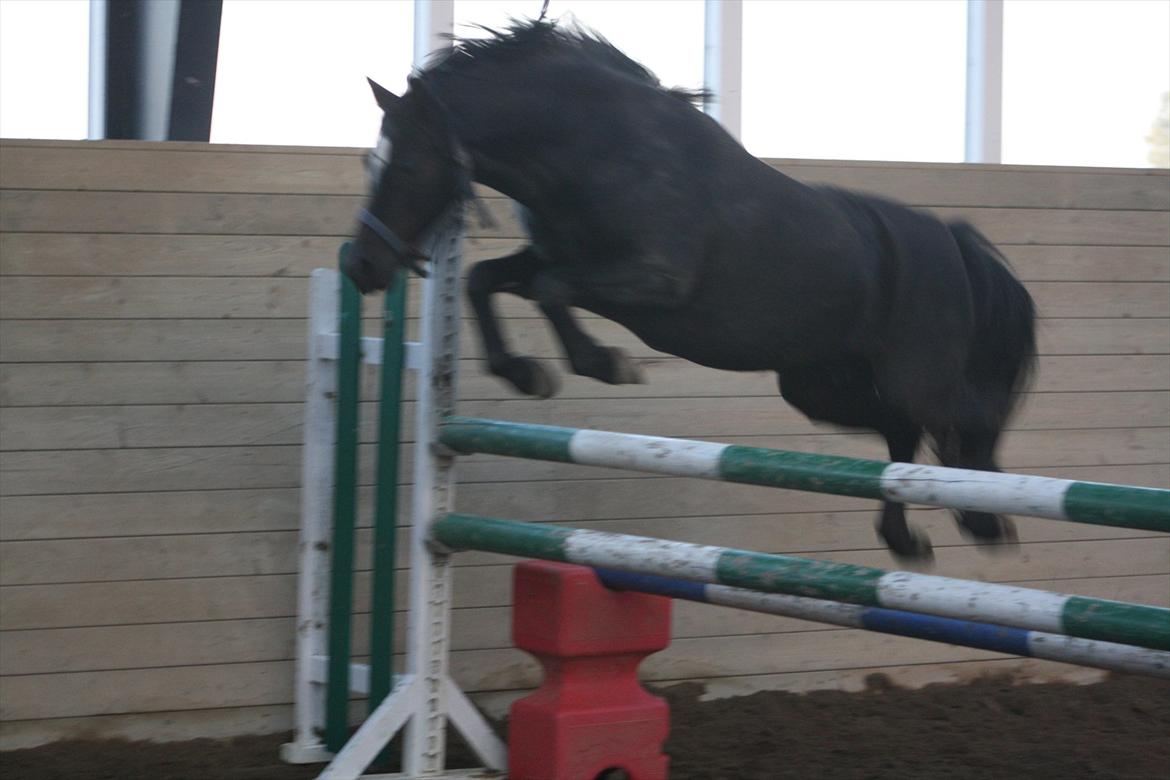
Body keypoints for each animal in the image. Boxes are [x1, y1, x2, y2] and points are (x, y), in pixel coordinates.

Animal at [343, 19, 1037, 562]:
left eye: (408, 164)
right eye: (371, 163)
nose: (360, 265)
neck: (593, 149)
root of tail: (953, 245)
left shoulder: (652, 282)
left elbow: (549, 289)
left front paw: (605, 363)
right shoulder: (559, 257)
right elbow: (486, 279)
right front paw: (525, 373)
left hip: (912, 374)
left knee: (965, 421)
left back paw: (986, 518)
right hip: (817, 384)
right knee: (902, 431)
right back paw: (907, 538)